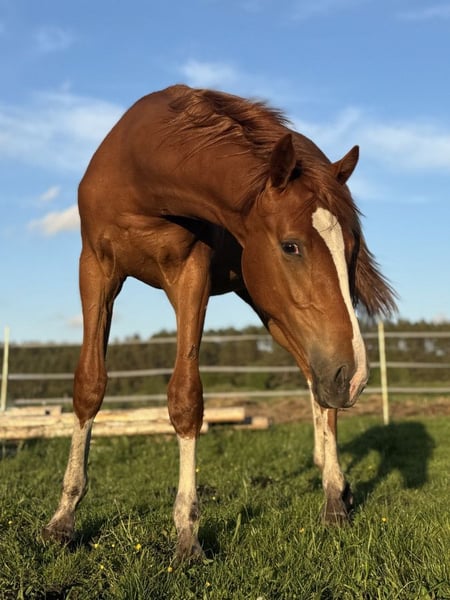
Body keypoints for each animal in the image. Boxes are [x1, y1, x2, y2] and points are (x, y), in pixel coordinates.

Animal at [42, 84, 396, 560]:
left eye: (353, 248)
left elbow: (186, 398)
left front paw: (187, 534)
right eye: (291, 246)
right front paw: (63, 519)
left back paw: (333, 497)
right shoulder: (95, 271)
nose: (355, 376)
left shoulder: (191, 274)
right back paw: (330, 472)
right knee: (315, 381)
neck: (141, 175)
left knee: (321, 392)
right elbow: (88, 386)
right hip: (274, 311)